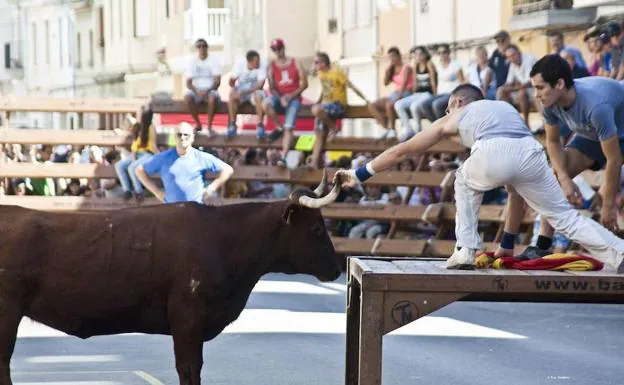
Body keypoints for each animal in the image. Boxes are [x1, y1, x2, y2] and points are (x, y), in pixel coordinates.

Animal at [0, 172, 342, 382]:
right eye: (316, 229)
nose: (337, 268)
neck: (224, 239)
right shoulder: (188, 320)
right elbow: (189, 370)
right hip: (7, 313)